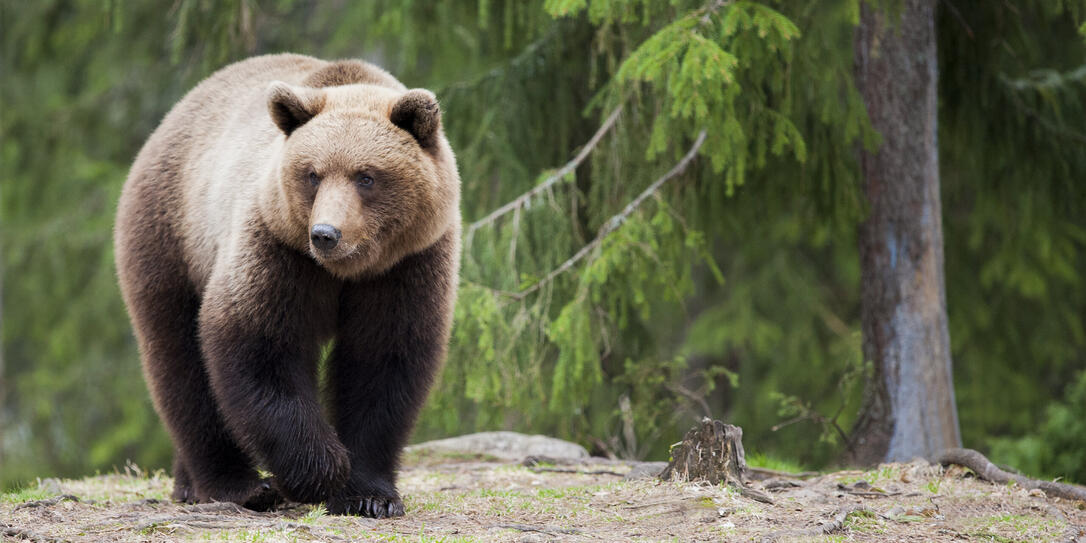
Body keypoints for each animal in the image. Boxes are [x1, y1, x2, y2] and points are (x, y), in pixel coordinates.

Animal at [114, 54, 460, 518]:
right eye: (312, 174)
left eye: (366, 176)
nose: (326, 233)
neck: (345, 271)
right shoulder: (277, 251)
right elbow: (259, 346)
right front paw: (321, 470)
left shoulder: (406, 265)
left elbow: (383, 361)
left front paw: (370, 495)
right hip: (171, 238)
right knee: (179, 361)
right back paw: (237, 485)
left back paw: (189, 484)